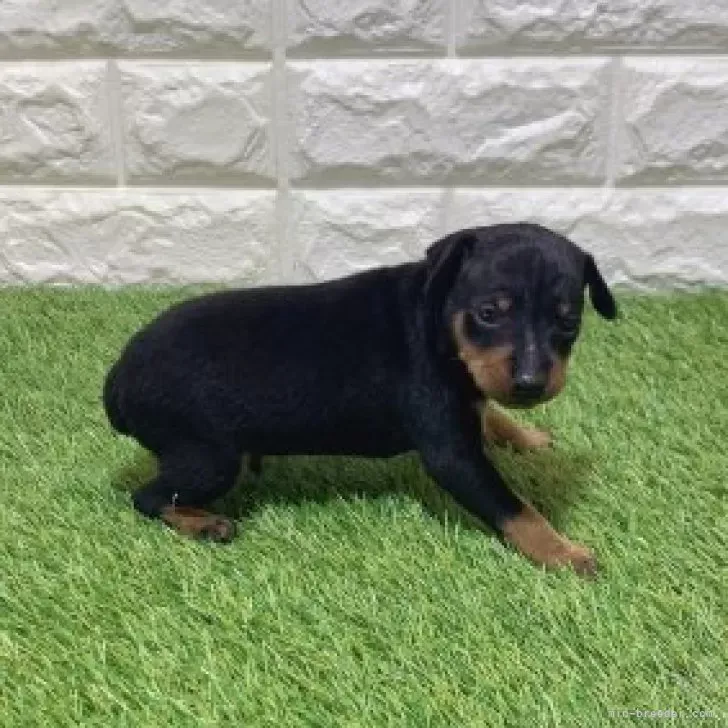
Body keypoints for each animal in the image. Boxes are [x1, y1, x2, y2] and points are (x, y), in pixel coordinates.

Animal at [103, 223, 617, 575]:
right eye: (488, 313)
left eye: (568, 321)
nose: (530, 383)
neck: (435, 316)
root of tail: (118, 379)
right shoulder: (450, 451)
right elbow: (514, 508)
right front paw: (564, 553)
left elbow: (487, 409)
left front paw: (526, 437)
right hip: (207, 456)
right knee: (147, 497)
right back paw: (204, 523)